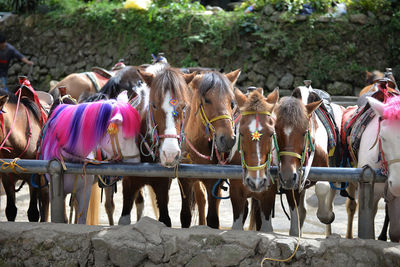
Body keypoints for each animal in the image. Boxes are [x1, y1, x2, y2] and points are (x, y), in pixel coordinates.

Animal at [40, 91, 141, 225]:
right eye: (125, 137)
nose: (138, 160)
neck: (68, 159)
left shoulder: (85, 190)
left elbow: (82, 219)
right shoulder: (56, 191)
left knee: (111, 206)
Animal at [116, 66, 196, 227]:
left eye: (184, 106)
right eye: (153, 105)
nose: (170, 154)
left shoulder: (162, 185)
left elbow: (165, 219)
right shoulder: (128, 183)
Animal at [178, 68, 241, 228]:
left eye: (232, 102)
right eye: (207, 100)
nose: (228, 139)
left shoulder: (214, 182)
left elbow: (213, 218)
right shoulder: (184, 180)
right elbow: (185, 216)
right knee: (201, 198)